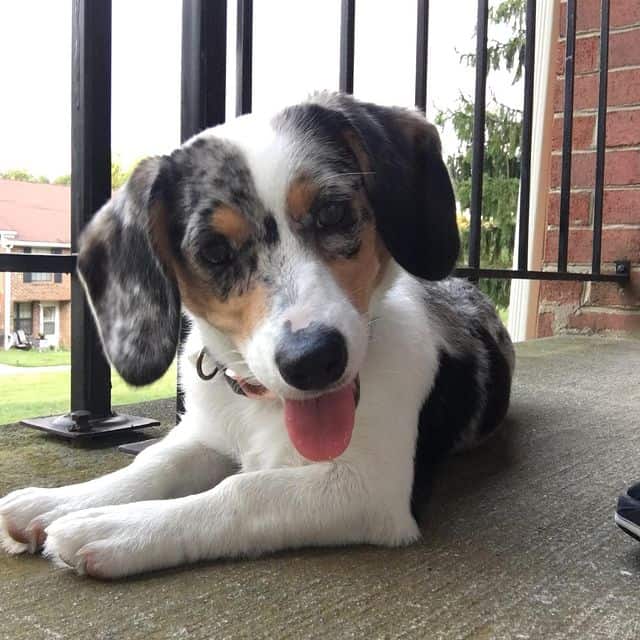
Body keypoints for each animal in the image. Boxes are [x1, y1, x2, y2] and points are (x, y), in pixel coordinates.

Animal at [0, 94, 512, 580]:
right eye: (214, 251)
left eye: (333, 213)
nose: (312, 360)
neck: (265, 407)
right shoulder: (204, 434)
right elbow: (155, 464)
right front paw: (60, 502)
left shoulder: (371, 487)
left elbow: (244, 490)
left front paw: (120, 526)